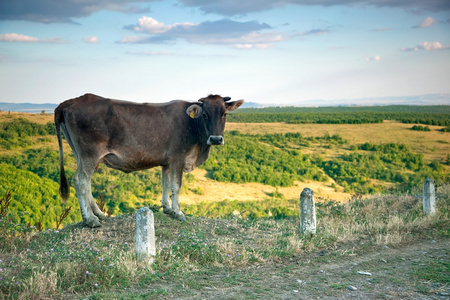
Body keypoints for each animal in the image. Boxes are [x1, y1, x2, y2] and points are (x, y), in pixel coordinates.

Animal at [56, 94, 246, 227]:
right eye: (205, 115)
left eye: (224, 114)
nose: (216, 139)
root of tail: (73, 100)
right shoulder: (178, 158)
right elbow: (176, 186)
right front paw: (178, 212)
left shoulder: (167, 161)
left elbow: (165, 183)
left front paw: (167, 209)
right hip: (90, 154)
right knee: (80, 180)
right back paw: (90, 219)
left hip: (81, 155)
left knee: (86, 183)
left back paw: (99, 214)